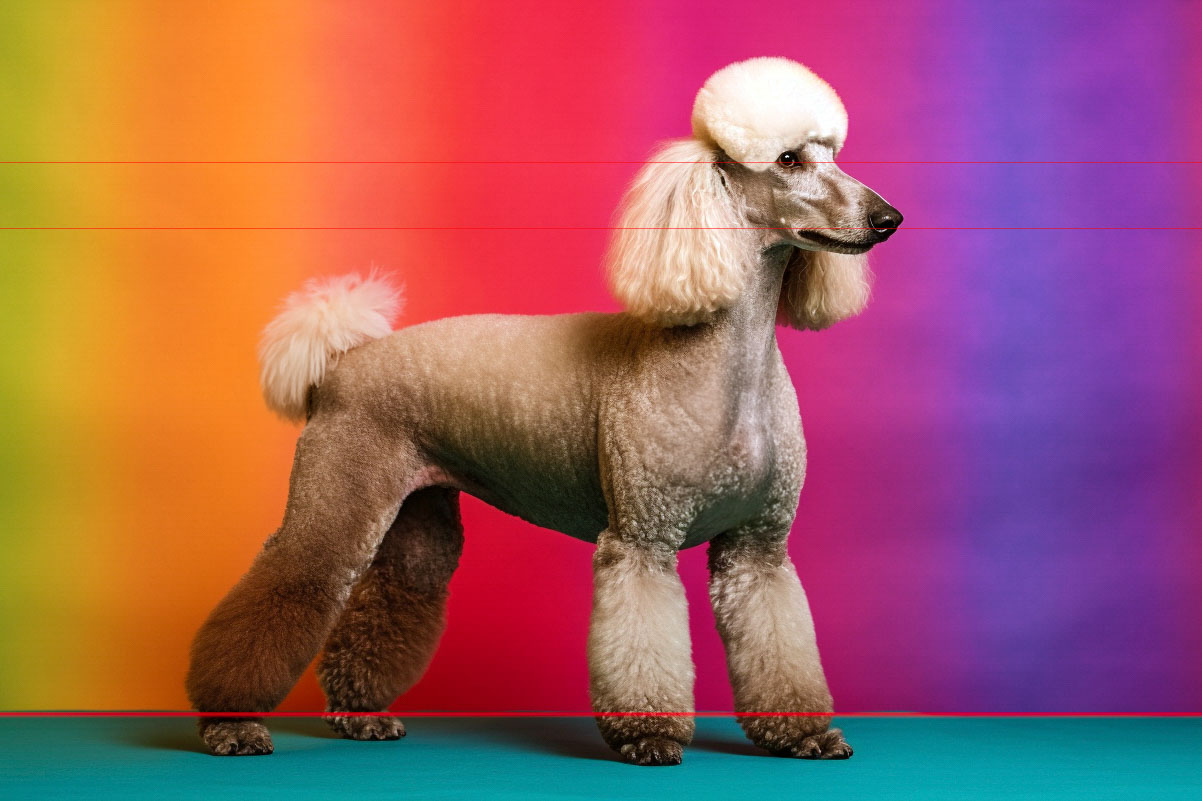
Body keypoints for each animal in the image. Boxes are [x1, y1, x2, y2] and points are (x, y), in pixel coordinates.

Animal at [187, 57, 903, 760]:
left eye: (832, 155)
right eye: (788, 160)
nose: (887, 218)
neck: (731, 374)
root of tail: (341, 363)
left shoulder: (758, 550)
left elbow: (780, 647)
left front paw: (803, 732)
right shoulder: (641, 541)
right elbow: (644, 645)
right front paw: (648, 733)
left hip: (414, 525)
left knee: (388, 599)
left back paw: (358, 714)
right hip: (335, 507)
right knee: (289, 586)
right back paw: (230, 724)